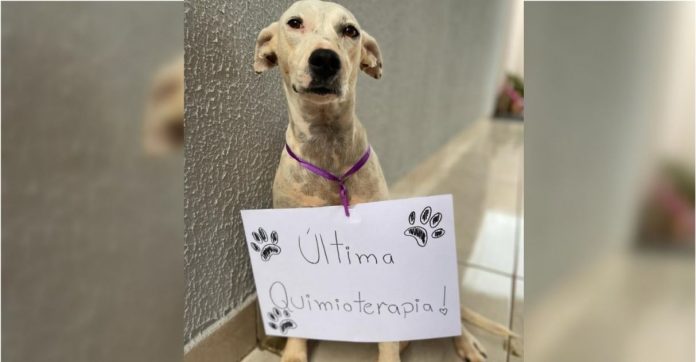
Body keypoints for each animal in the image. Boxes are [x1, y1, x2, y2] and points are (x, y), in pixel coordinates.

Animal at [253, 1, 520, 360]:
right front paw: (294, 352)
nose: (326, 59)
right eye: (294, 23)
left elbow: (388, 334)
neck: (328, 147)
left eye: (350, 30)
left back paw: (466, 342)